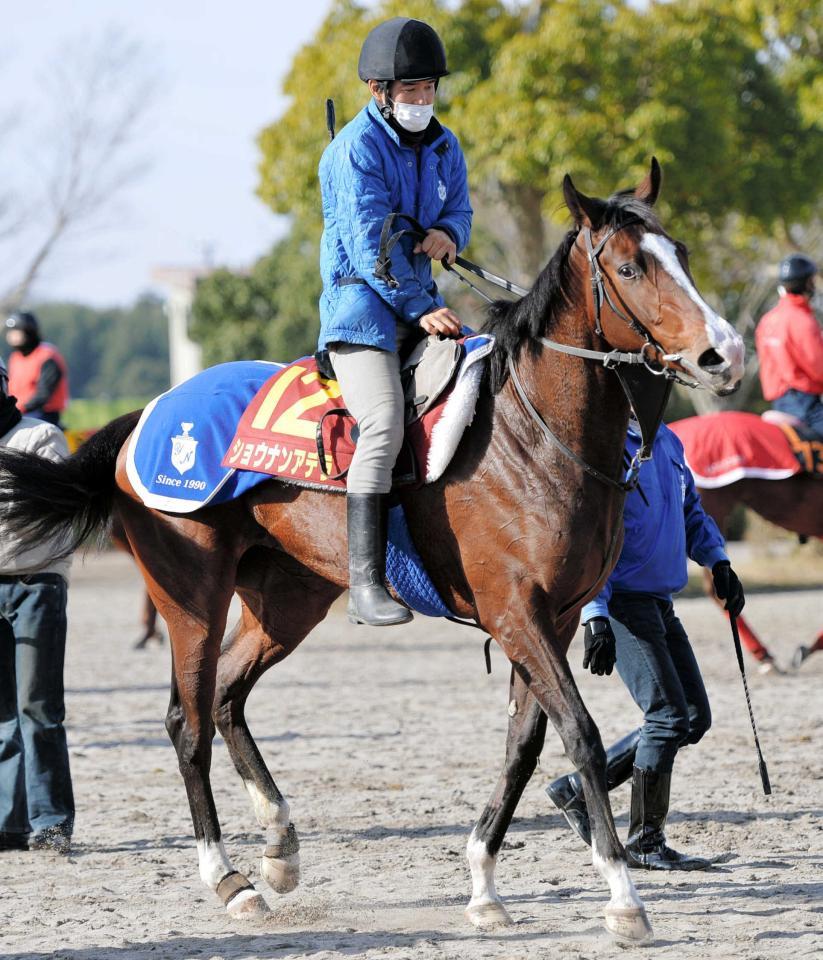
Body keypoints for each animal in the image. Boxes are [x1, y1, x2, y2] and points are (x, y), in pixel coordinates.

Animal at [0, 161, 748, 940]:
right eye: (630, 267)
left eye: (681, 254)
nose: (723, 351)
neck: (531, 436)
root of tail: (150, 412)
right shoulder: (518, 615)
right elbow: (579, 732)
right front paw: (623, 897)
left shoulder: (557, 618)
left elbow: (522, 744)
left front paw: (484, 883)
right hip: (192, 600)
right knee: (189, 720)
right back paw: (229, 879)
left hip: (289, 599)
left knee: (230, 694)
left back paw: (280, 847)